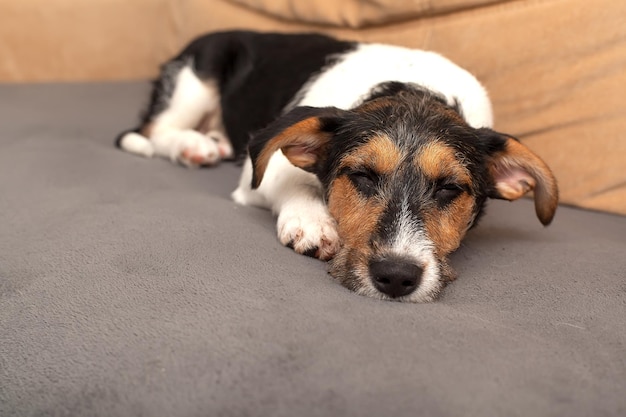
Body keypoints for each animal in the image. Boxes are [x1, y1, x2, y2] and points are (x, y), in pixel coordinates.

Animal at [116, 30, 556, 302]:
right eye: (361, 176)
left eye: (450, 188)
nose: (396, 277)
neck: (413, 90)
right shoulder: (260, 172)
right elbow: (294, 183)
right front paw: (313, 223)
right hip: (194, 77)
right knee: (150, 129)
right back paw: (192, 145)